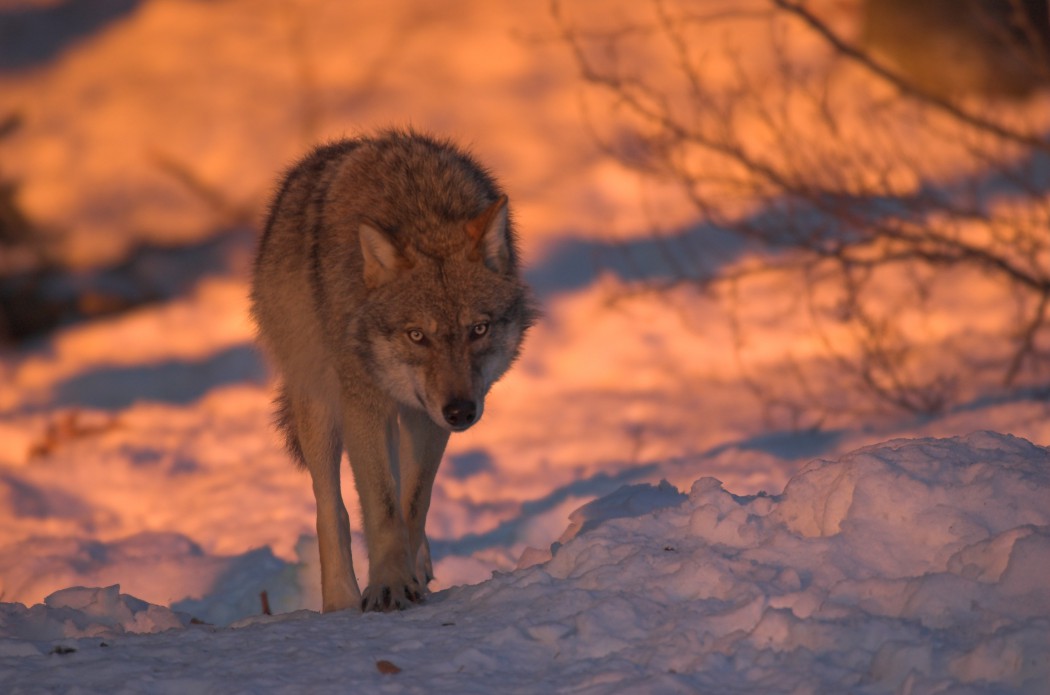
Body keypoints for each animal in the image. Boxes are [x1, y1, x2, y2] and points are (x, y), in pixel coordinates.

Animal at [250, 130, 536, 612]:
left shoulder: (426, 415)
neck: (420, 210)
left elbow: (413, 503)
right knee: (331, 507)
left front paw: (407, 576)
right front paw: (388, 586)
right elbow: (380, 507)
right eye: (417, 335)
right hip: (319, 403)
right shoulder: (363, 403)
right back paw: (341, 601)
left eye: (478, 329)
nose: (461, 412)